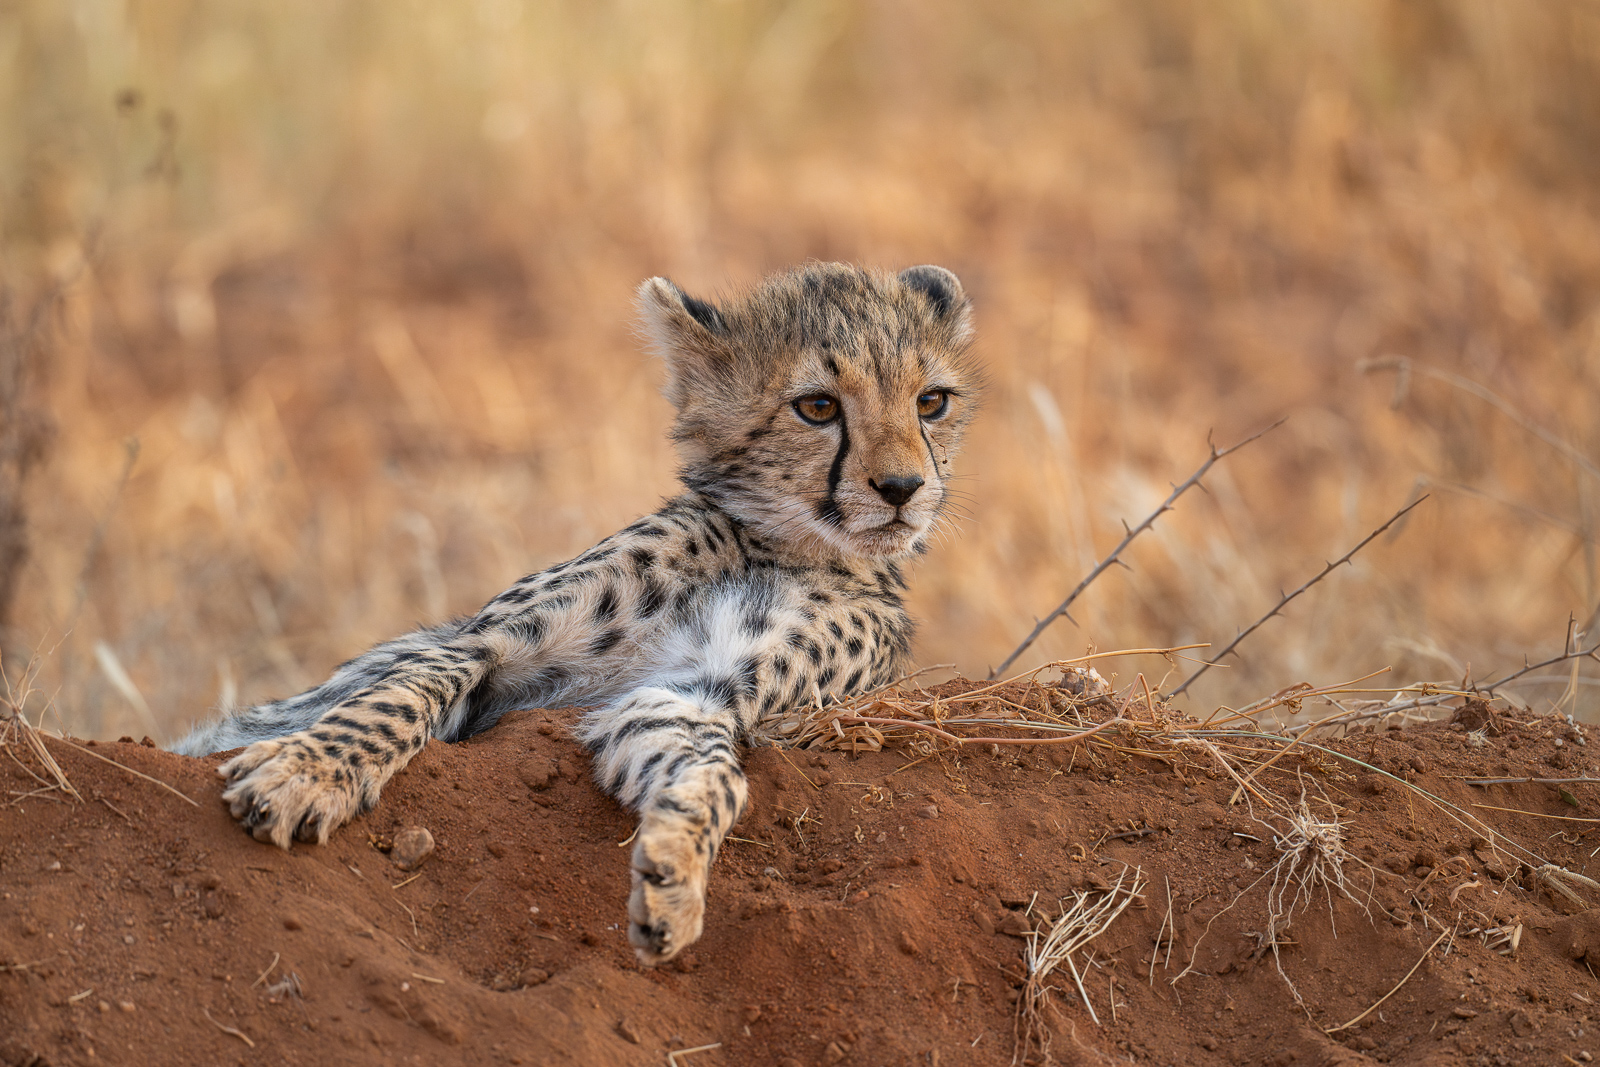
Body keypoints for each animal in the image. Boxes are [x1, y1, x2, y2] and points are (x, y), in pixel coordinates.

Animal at [173, 262, 982, 964]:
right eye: (817, 406)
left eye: (930, 402)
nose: (902, 488)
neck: (776, 544)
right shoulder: (486, 644)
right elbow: (399, 695)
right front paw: (307, 772)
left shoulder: (695, 694)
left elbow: (719, 776)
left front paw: (673, 875)